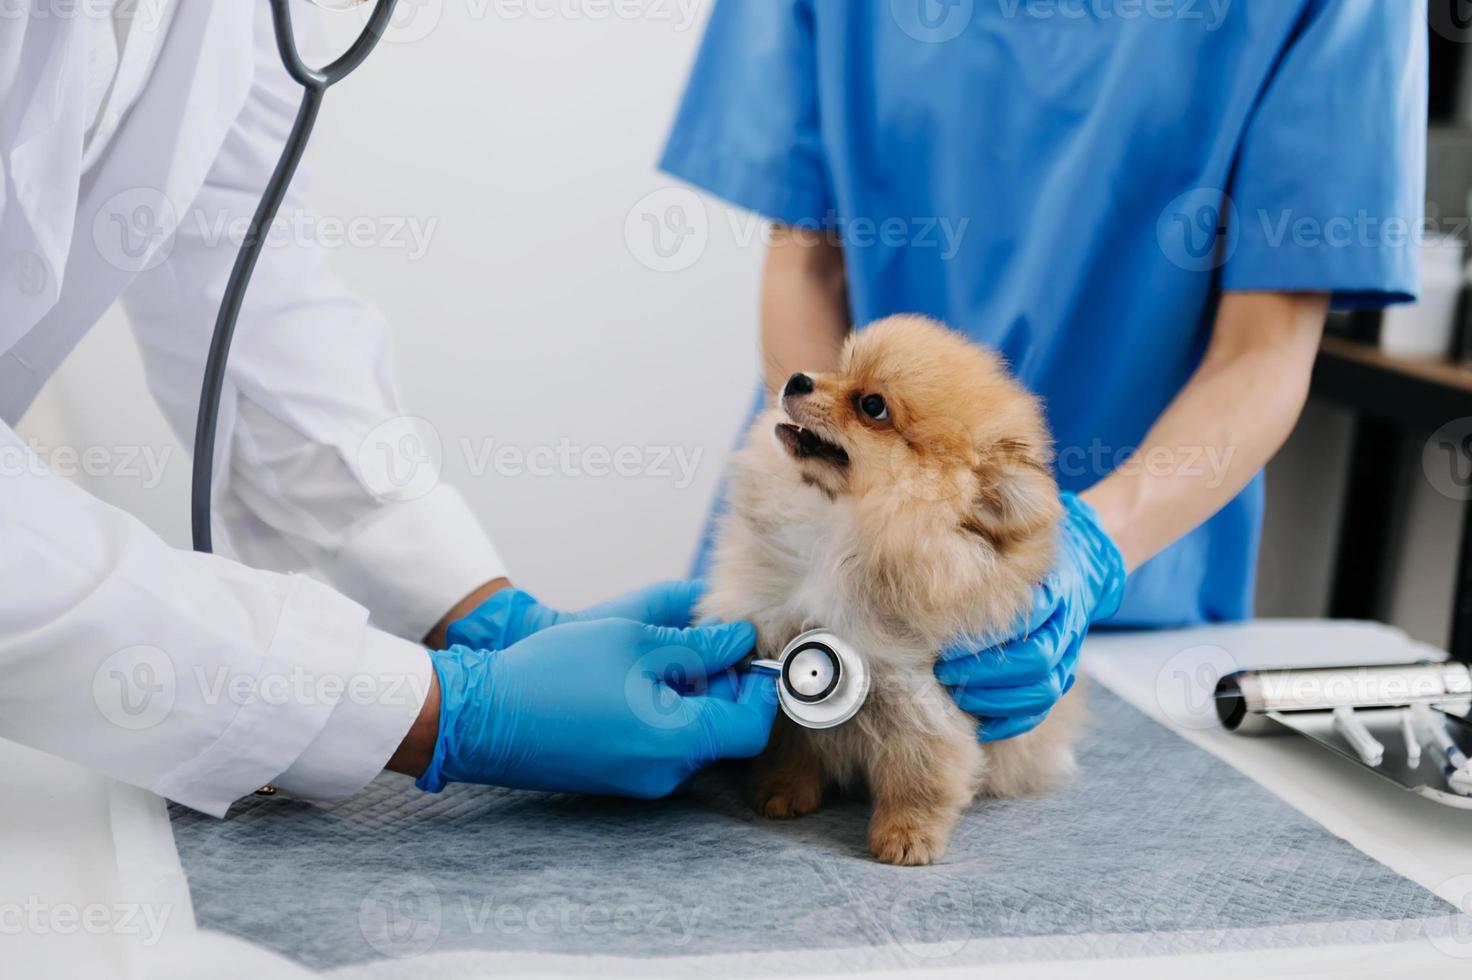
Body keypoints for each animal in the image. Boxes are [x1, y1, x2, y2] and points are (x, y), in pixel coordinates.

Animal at [700, 313, 1083, 865]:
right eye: (839, 367)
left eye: (872, 406)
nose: (797, 379)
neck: (838, 532)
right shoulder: (775, 646)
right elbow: (792, 742)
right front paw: (782, 790)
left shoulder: (919, 696)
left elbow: (920, 774)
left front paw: (907, 835)